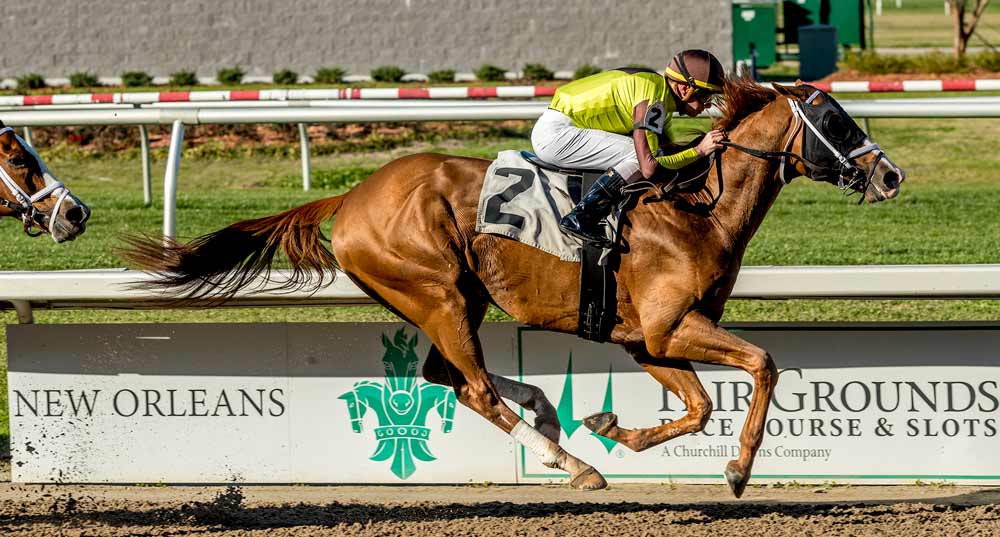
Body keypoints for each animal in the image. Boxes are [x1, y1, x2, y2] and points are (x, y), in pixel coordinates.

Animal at [119, 80, 908, 498]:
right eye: (835, 120)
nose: (891, 175)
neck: (696, 209)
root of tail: (353, 197)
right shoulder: (668, 326)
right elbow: (762, 365)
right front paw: (739, 470)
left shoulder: (647, 340)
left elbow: (697, 404)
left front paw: (614, 425)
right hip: (434, 290)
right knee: (470, 386)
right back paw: (573, 464)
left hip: (454, 296)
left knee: (447, 375)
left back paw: (555, 421)